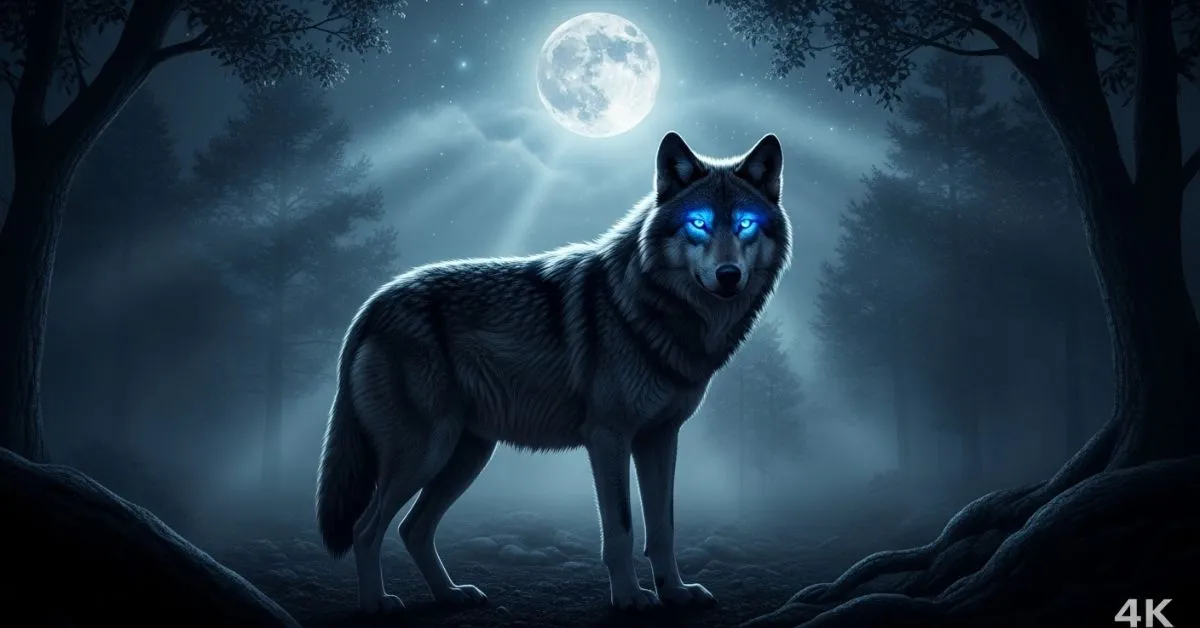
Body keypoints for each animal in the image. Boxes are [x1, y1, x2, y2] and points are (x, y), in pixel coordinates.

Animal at [315, 131, 791, 613]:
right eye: (698, 223)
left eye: (745, 225)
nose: (728, 275)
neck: (653, 310)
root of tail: (372, 305)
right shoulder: (608, 438)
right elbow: (621, 529)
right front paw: (630, 598)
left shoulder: (660, 438)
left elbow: (663, 529)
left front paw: (674, 592)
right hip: (425, 453)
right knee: (365, 529)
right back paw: (376, 604)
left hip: (466, 455)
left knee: (413, 528)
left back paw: (450, 594)